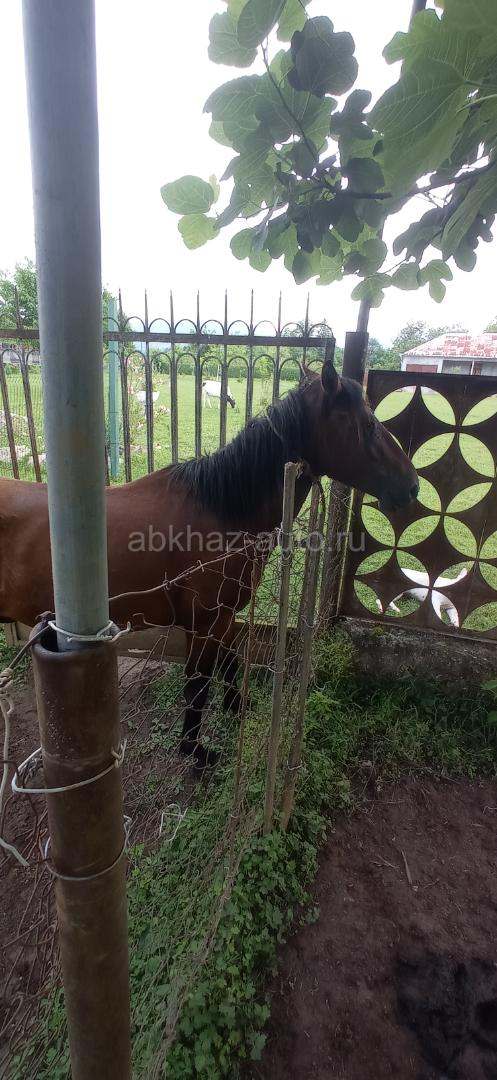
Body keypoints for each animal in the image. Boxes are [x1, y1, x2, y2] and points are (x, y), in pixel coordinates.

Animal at [0, 360, 418, 765]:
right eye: (368, 424)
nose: (412, 486)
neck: (222, 511)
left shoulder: (225, 616)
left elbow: (231, 664)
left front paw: (237, 707)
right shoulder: (201, 624)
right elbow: (198, 684)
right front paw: (195, 752)